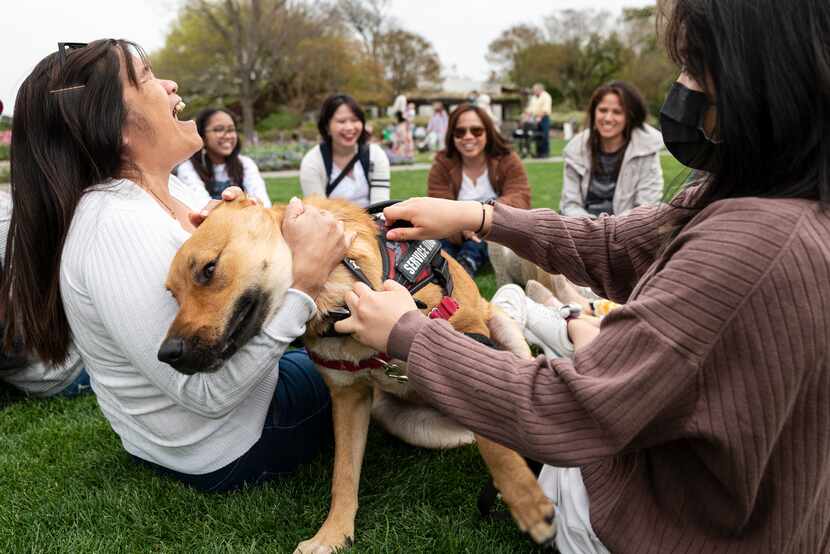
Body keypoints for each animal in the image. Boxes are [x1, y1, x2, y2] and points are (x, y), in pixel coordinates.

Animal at [159, 195, 556, 552]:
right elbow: (344, 474)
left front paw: (528, 503)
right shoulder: (348, 398)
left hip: (505, 336)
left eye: (208, 269)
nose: (167, 354)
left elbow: (496, 447)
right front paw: (333, 534)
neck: (342, 298)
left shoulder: (467, 342)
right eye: (173, 295)